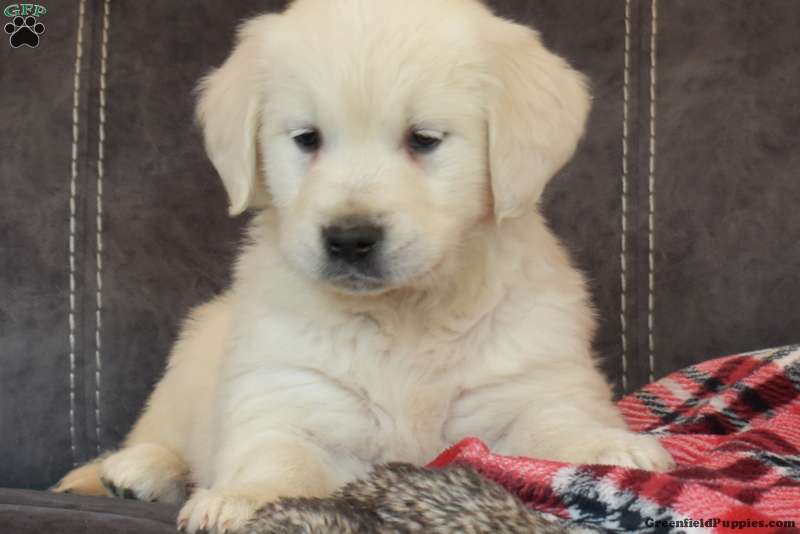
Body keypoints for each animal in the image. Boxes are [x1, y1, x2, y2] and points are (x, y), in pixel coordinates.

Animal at [53, 0, 674, 532]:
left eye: (424, 139)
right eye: (307, 139)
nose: (350, 239)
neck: (403, 317)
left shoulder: (528, 379)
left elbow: (556, 424)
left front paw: (609, 448)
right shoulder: (290, 388)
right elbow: (277, 456)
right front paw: (241, 498)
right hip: (190, 359)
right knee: (160, 436)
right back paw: (134, 470)